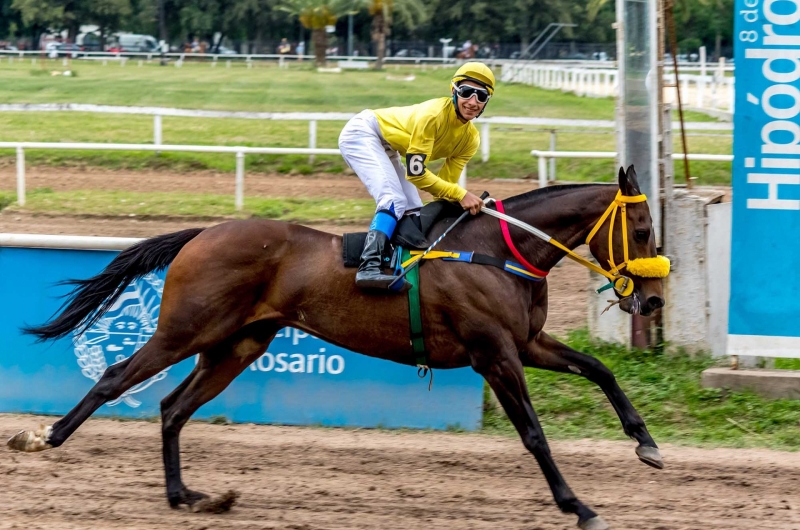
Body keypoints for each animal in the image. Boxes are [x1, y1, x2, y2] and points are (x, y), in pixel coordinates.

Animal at [9, 165, 664, 528]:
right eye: (642, 229)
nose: (655, 301)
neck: (495, 250)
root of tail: (204, 232)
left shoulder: (526, 342)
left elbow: (599, 369)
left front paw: (647, 444)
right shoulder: (494, 353)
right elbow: (533, 434)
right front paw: (579, 506)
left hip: (237, 345)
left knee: (173, 407)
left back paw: (184, 495)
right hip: (185, 329)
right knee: (117, 377)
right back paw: (43, 438)